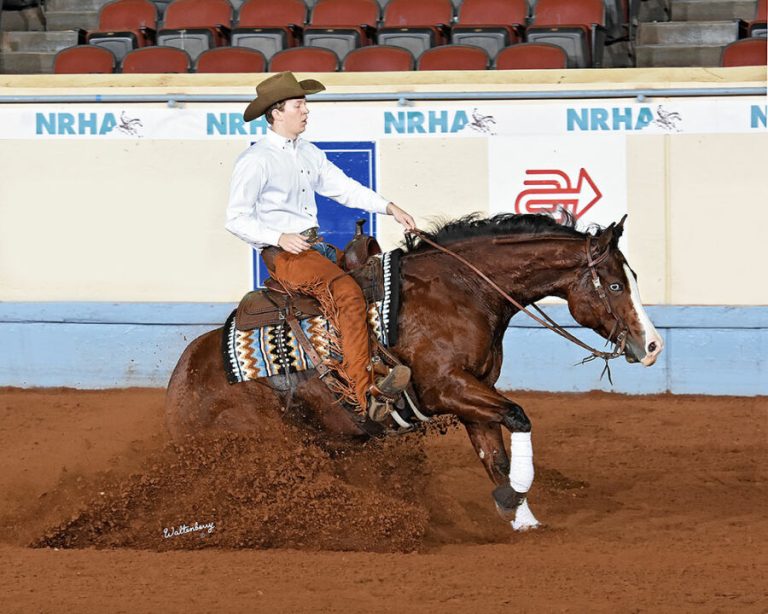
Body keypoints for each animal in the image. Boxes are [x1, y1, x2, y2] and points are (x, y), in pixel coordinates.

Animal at [165, 213, 663, 531]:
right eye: (614, 285)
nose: (653, 346)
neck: (462, 291)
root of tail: (180, 384)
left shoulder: (473, 392)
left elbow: (496, 456)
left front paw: (522, 517)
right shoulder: (446, 387)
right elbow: (520, 416)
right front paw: (514, 498)